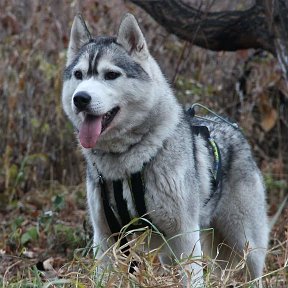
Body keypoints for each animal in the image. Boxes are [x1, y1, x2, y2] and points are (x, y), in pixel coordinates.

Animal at [61, 12, 270, 284]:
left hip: (246, 245)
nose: (80, 98)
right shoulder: (106, 238)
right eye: (79, 75)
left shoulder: (186, 236)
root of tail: (232, 126)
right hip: (171, 253)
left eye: (110, 75)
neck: (125, 162)